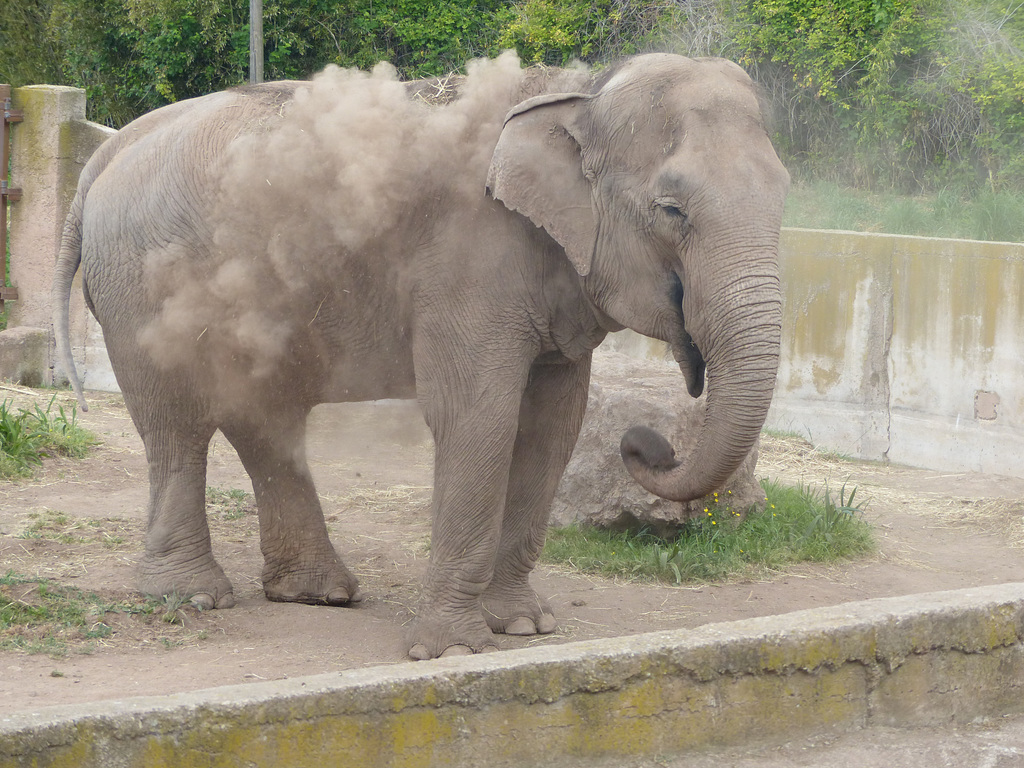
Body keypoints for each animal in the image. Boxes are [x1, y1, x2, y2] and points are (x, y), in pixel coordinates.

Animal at [51, 52, 786, 663]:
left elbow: (552, 427)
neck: (576, 93)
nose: (648, 442)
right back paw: (193, 596)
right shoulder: (466, 263)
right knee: (177, 420)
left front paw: (523, 627)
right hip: (142, 289)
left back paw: (319, 592)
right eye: (671, 210)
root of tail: (106, 151)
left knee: (262, 416)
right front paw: (454, 650)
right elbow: (479, 417)